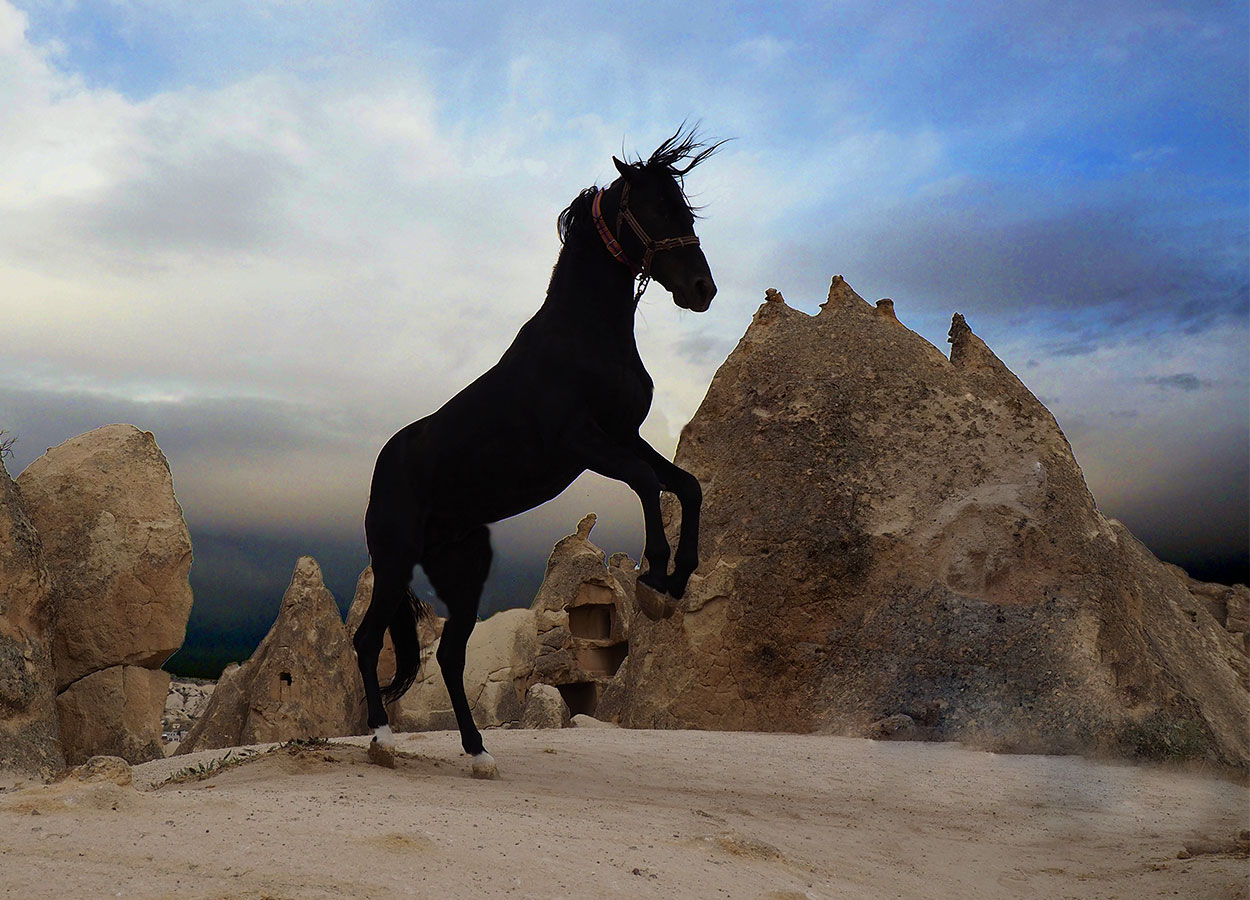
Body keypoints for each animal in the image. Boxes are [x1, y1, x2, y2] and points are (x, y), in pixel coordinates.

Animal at [355, 126, 725, 775]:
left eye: (685, 206)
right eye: (657, 207)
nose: (701, 289)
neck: (585, 335)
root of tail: (384, 466)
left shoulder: (624, 435)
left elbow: (685, 484)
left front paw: (676, 582)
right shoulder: (586, 444)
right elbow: (646, 483)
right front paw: (654, 578)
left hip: (463, 569)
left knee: (449, 656)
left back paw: (479, 753)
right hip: (395, 558)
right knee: (368, 639)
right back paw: (382, 740)